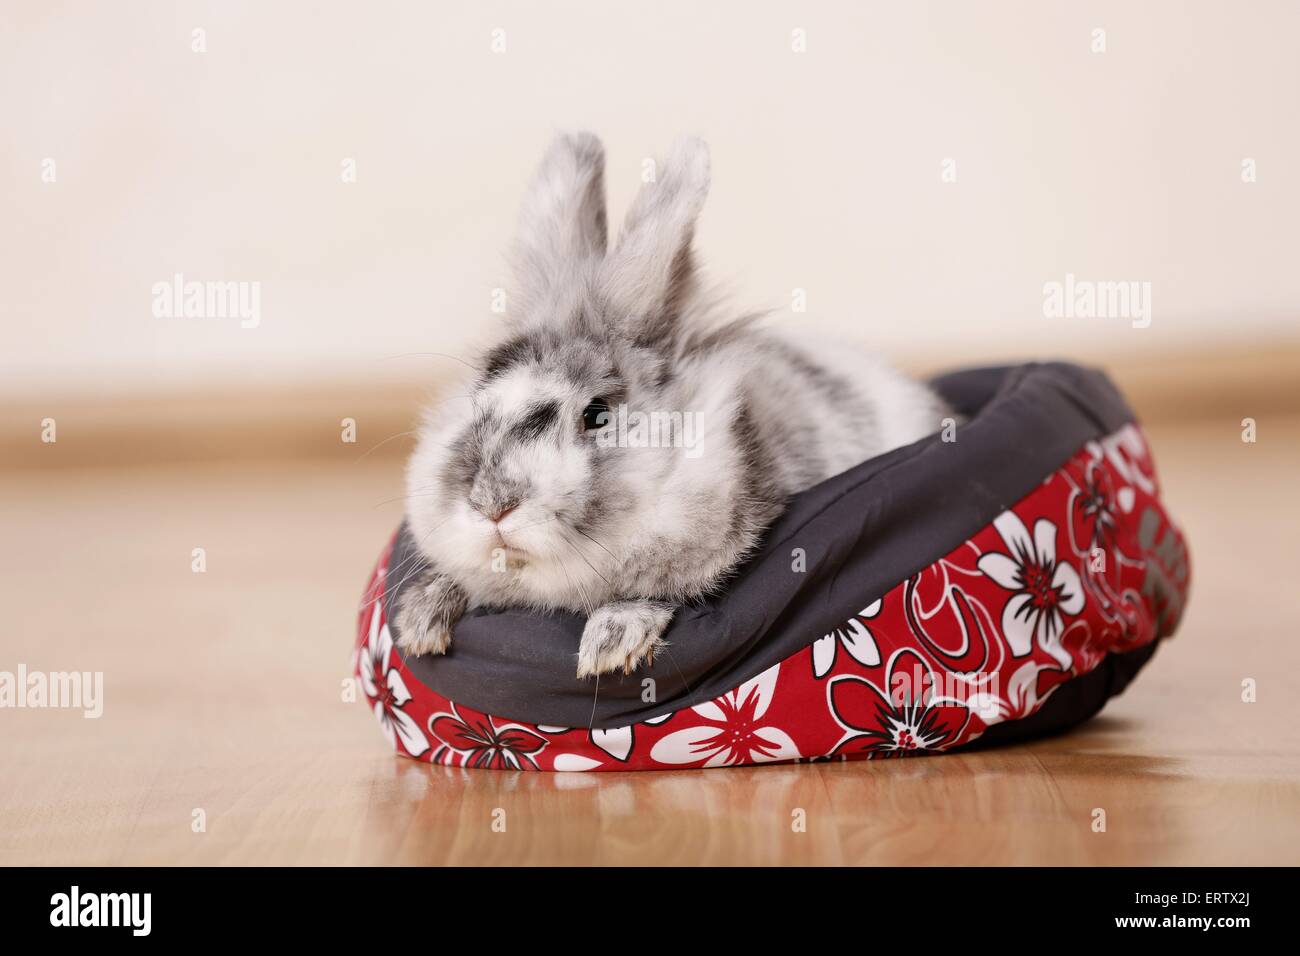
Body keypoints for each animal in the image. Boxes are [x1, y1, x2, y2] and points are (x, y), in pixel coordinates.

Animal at [394, 131, 951, 678]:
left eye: (598, 414)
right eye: (478, 405)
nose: (492, 505)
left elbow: (657, 591)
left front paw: (610, 645)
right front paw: (419, 624)